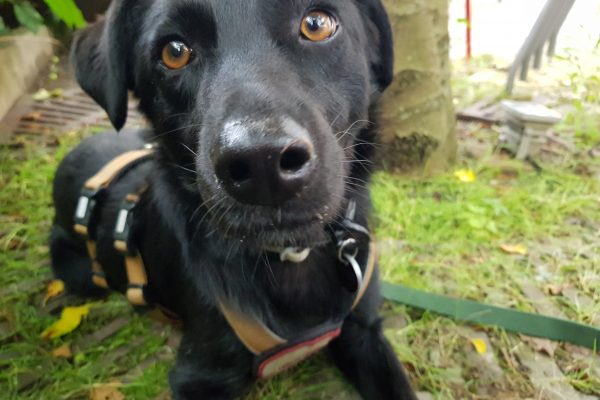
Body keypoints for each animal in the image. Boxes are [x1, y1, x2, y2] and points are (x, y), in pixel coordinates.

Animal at [50, 1, 418, 398]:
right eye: (174, 52)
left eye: (317, 24)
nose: (262, 163)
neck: (292, 255)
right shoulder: (199, 375)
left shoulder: (363, 332)